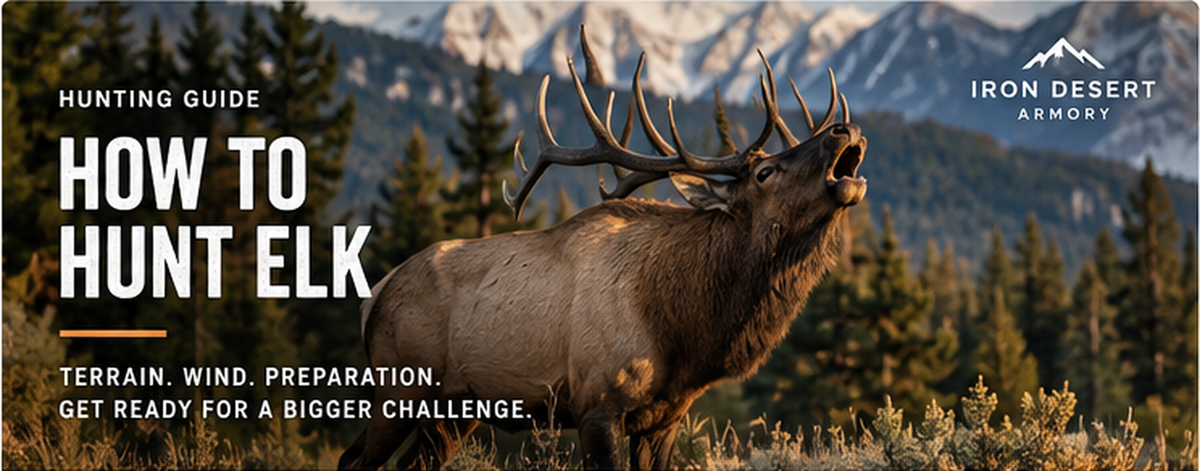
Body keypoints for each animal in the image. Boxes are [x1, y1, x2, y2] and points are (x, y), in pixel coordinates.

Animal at [339, 26, 867, 470]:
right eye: (764, 172)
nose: (844, 128)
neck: (684, 330)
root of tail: (372, 297)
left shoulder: (666, 417)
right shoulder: (597, 404)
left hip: (452, 412)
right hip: (399, 389)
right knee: (353, 459)